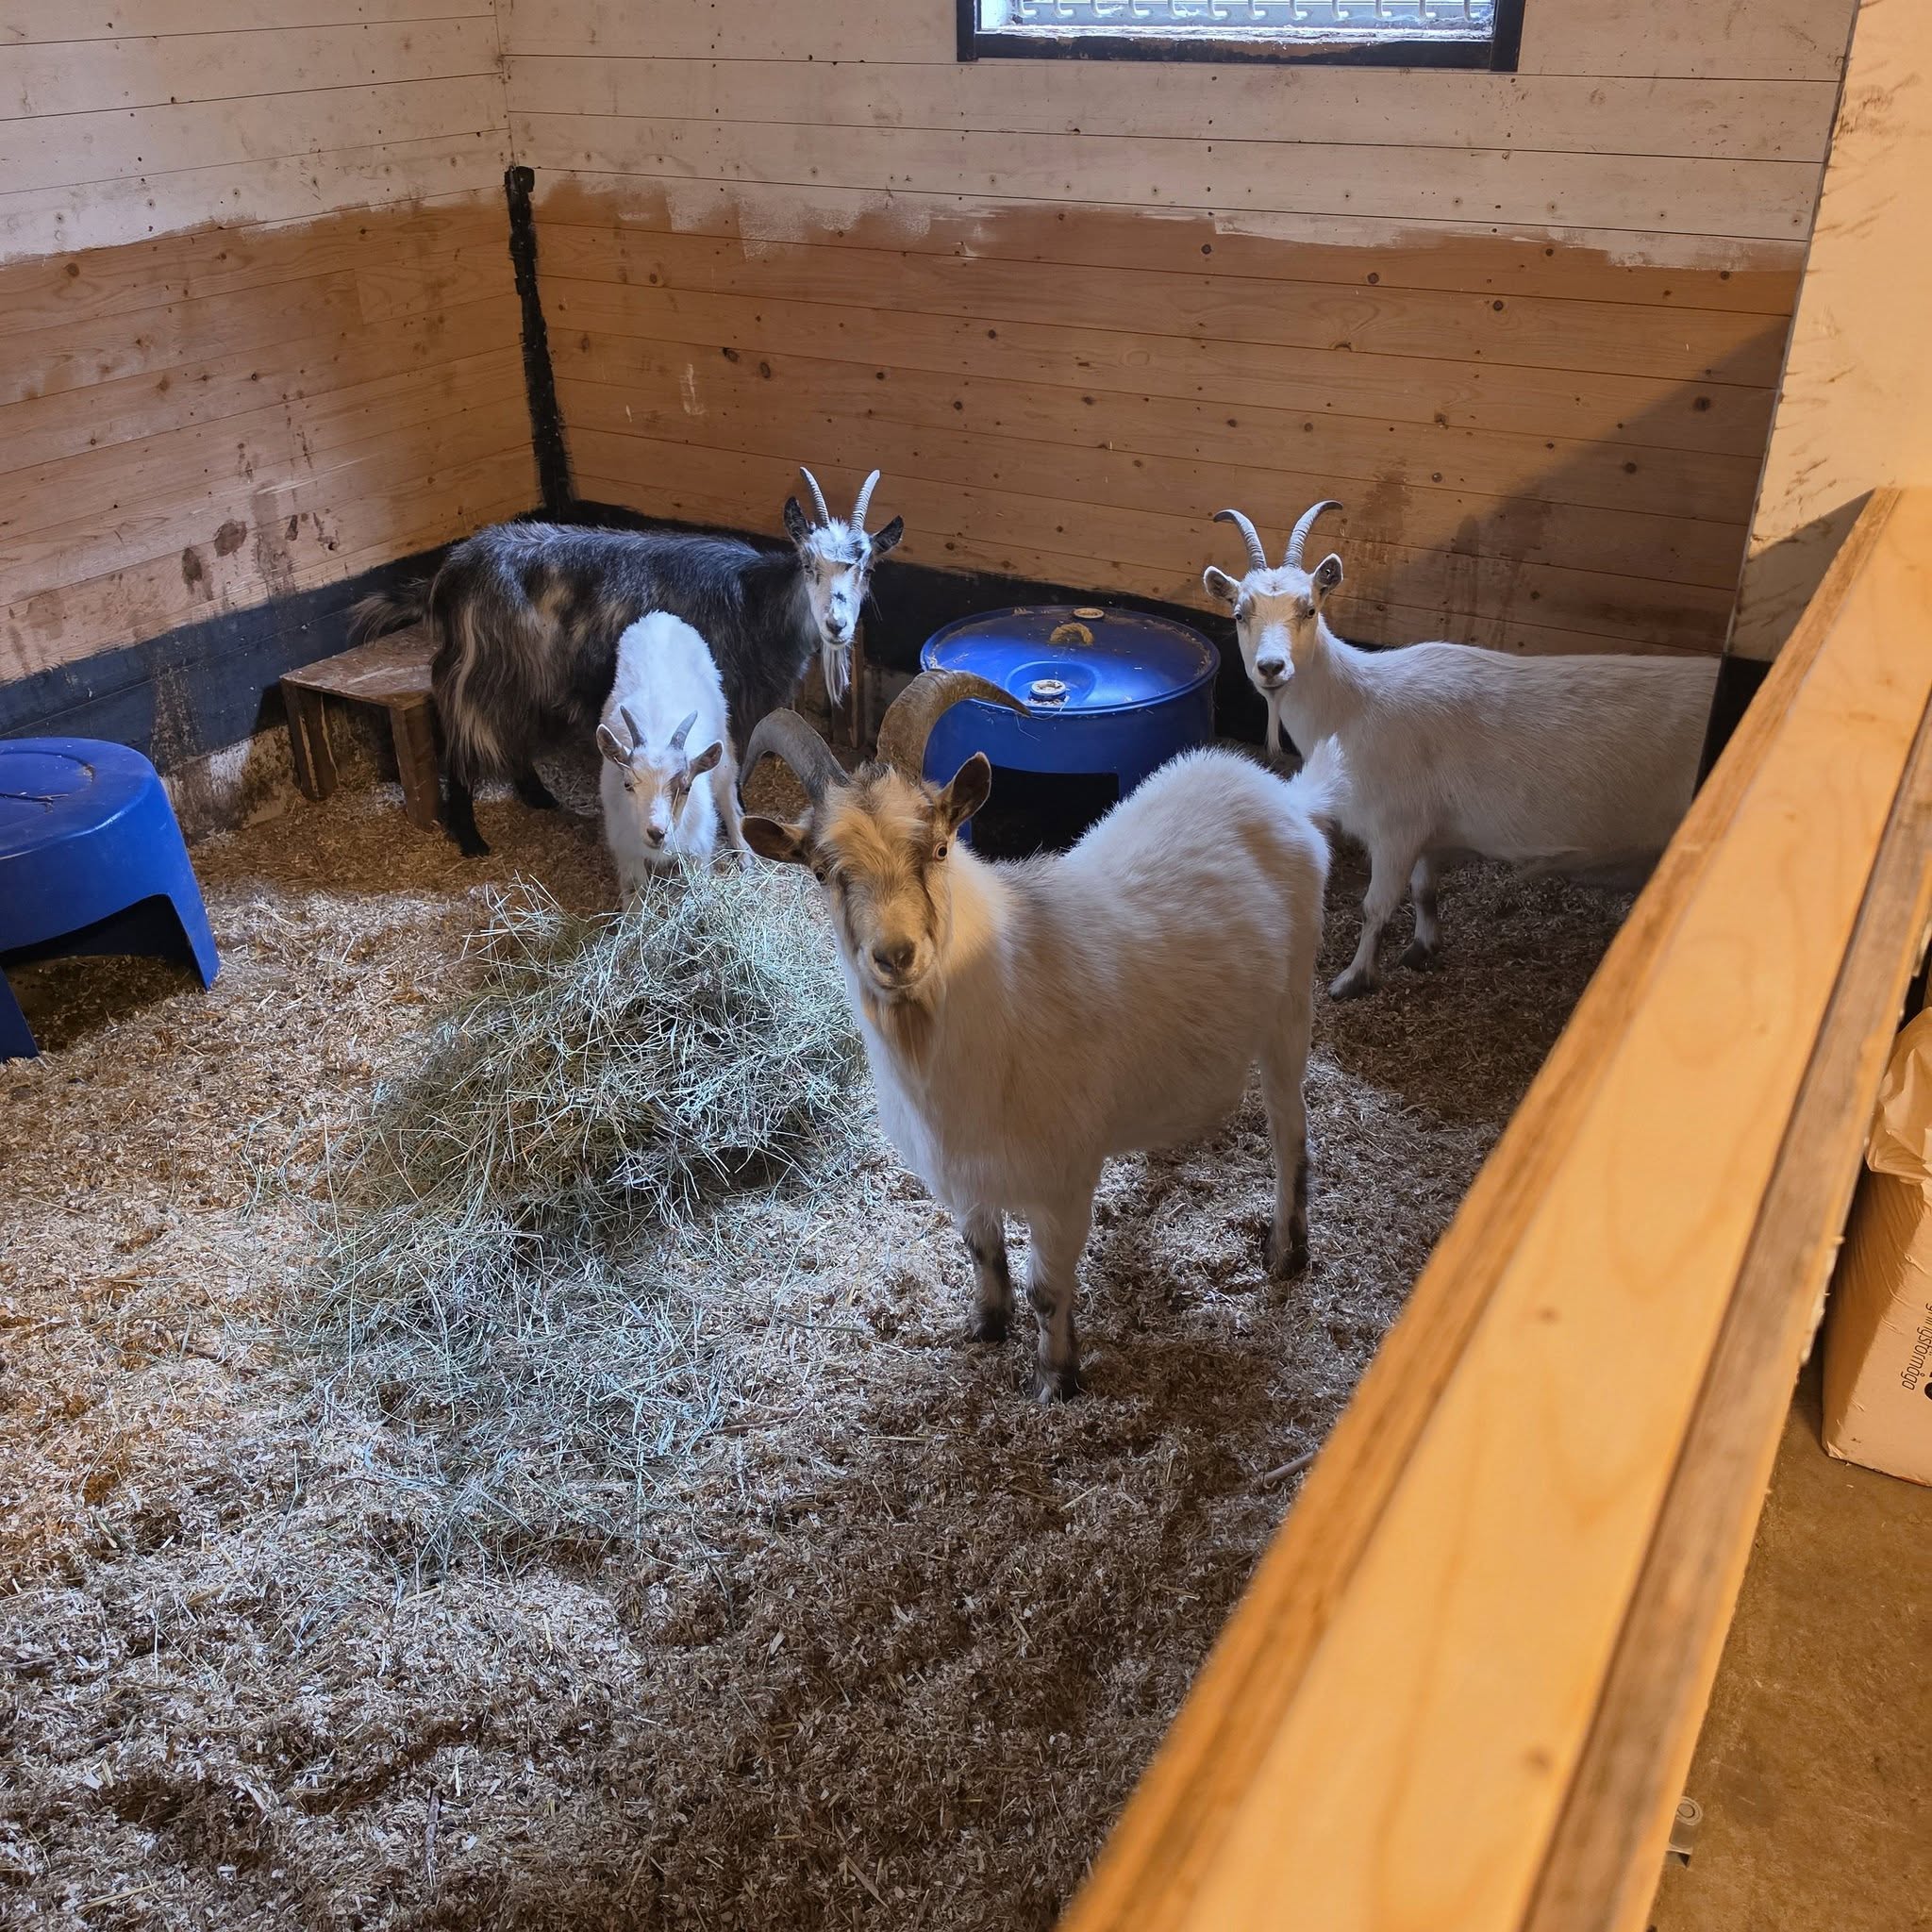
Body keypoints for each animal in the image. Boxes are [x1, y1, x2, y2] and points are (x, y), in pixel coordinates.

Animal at [348, 468, 903, 857]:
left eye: (866, 567)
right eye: (808, 563)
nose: (837, 625)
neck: (756, 600)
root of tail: (445, 576)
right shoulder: (730, 699)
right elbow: (727, 770)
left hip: (522, 678)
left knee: (512, 735)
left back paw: (538, 797)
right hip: (479, 674)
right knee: (464, 746)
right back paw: (471, 839)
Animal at [596, 612, 747, 893]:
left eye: (686, 787)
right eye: (627, 784)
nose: (657, 832)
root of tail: (660, 617)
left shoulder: (699, 847)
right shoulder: (626, 848)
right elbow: (635, 890)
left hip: (723, 738)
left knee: (728, 790)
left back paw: (745, 855)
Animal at [740, 679, 1334, 1402]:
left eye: (939, 847)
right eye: (823, 871)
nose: (896, 956)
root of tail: (1284, 797)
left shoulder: (1062, 1181)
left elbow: (1047, 1289)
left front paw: (1055, 1379)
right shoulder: (963, 1177)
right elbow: (983, 1253)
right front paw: (985, 1326)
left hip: (1290, 1012)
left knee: (1289, 1132)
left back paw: (1286, 1251)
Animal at [1204, 499, 1720, 999]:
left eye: (1309, 608)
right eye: (1239, 614)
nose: (1272, 667)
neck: (1353, 705)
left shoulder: (1395, 827)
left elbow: (1375, 907)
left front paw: (1352, 979)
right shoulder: (1427, 829)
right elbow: (1424, 891)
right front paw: (1422, 947)